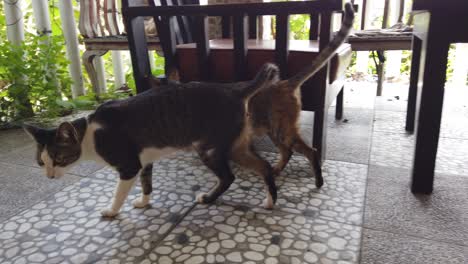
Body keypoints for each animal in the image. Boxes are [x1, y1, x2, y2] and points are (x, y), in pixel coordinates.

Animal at [23, 63, 280, 218]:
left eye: (58, 158)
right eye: (41, 162)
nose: (49, 176)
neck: (89, 135)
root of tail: (235, 88)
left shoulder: (129, 167)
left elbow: (119, 193)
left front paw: (112, 211)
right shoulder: (144, 162)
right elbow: (147, 183)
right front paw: (144, 202)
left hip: (209, 149)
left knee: (229, 177)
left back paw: (208, 198)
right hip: (236, 146)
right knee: (265, 166)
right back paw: (270, 202)